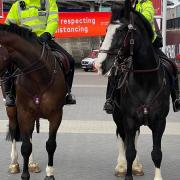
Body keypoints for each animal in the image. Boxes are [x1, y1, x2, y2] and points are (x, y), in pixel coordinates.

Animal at [0, 23, 67, 179]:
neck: (38, 78)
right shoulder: (24, 113)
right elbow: (25, 147)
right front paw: (25, 175)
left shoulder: (56, 115)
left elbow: (50, 144)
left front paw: (50, 174)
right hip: (12, 109)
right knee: (14, 129)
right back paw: (14, 164)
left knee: (29, 135)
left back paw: (32, 164)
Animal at [95, 1, 171, 180]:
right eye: (107, 30)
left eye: (121, 30)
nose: (99, 64)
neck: (145, 81)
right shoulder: (128, 119)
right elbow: (129, 151)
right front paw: (126, 172)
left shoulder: (160, 122)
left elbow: (156, 153)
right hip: (118, 116)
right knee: (121, 136)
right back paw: (121, 166)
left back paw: (136, 166)